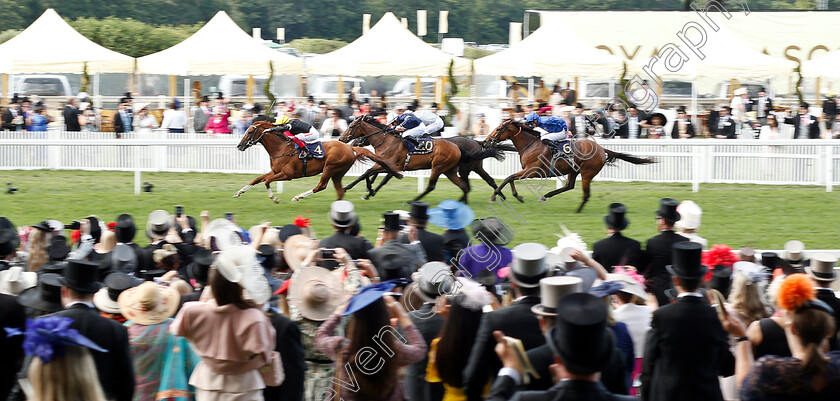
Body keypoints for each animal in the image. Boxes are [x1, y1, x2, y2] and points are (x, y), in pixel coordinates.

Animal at [233, 120, 404, 202]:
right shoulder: (275, 171)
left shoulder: (287, 175)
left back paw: (299, 196)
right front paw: (238, 192)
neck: (281, 148)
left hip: (330, 168)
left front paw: (274, 198)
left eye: (250, 131)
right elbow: (257, 179)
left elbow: (267, 181)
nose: (239, 145)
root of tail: (351, 148)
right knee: (340, 191)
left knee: (321, 186)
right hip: (337, 173)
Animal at [340, 115, 476, 203]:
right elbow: (372, 175)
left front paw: (349, 188)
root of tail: (457, 147)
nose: (342, 139)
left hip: (438, 167)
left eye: (351, 126)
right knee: (464, 187)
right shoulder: (388, 166)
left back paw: (412, 201)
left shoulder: (389, 165)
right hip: (449, 170)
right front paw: (369, 192)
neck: (386, 141)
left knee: (431, 186)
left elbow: (367, 173)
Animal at [482, 119, 652, 212]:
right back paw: (546, 196)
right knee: (569, 186)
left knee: (585, 193)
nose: (485, 141)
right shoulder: (527, 170)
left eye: (498, 129)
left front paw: (494, 196)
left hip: (587, 173)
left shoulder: (532, 171)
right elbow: (510, 178)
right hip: (573, 170)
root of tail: (601, 149)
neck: (530, 145)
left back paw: (577, 210)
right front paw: (518, 196)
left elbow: (509, 177)